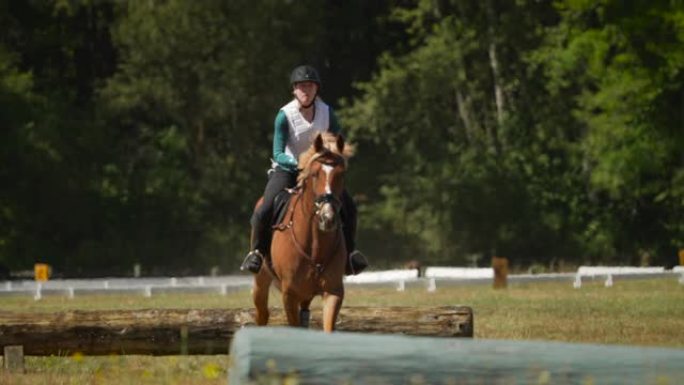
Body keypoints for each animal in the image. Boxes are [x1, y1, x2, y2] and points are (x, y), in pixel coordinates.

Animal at [254, 132, 356, 330]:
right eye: (315, 174)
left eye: (341, 174)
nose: (327, 218)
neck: (315, 245)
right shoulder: (290, 295)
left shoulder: (333, 292)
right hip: (261, 280)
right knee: (262, 313)